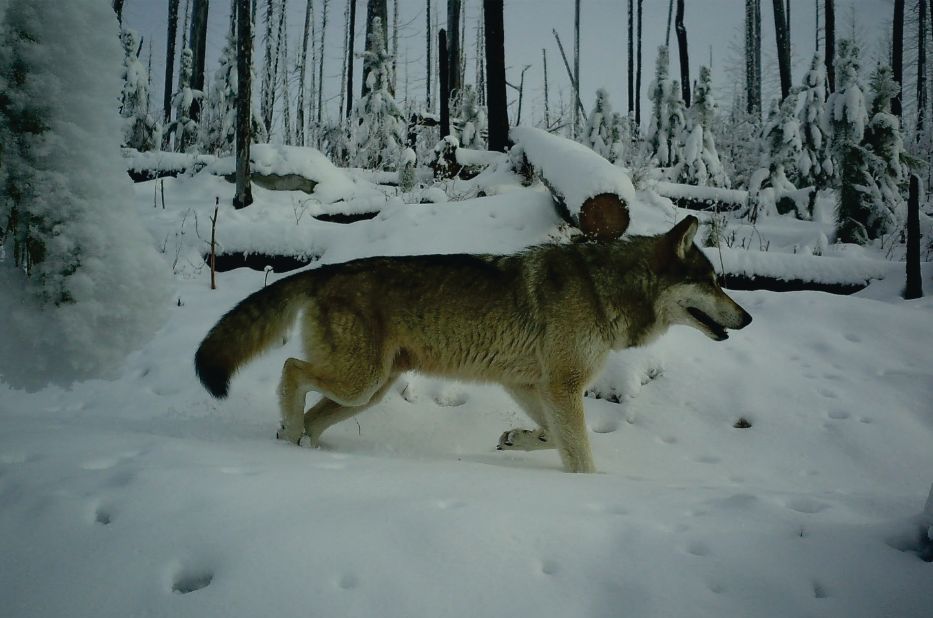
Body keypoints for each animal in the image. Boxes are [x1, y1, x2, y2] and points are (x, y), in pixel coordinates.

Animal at [194, 215, 751, 473]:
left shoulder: (533, 385)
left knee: (311, 411)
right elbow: (580, 453)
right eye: (714, 282)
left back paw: (302, 450)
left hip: (368, 391)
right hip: (361, 383)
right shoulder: (563, 386)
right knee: (290, 370)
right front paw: (590, 491)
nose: (746, 317)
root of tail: (324, 270)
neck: (603, 289)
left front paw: (516, 441)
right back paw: (289, 437)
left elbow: (551, 436)